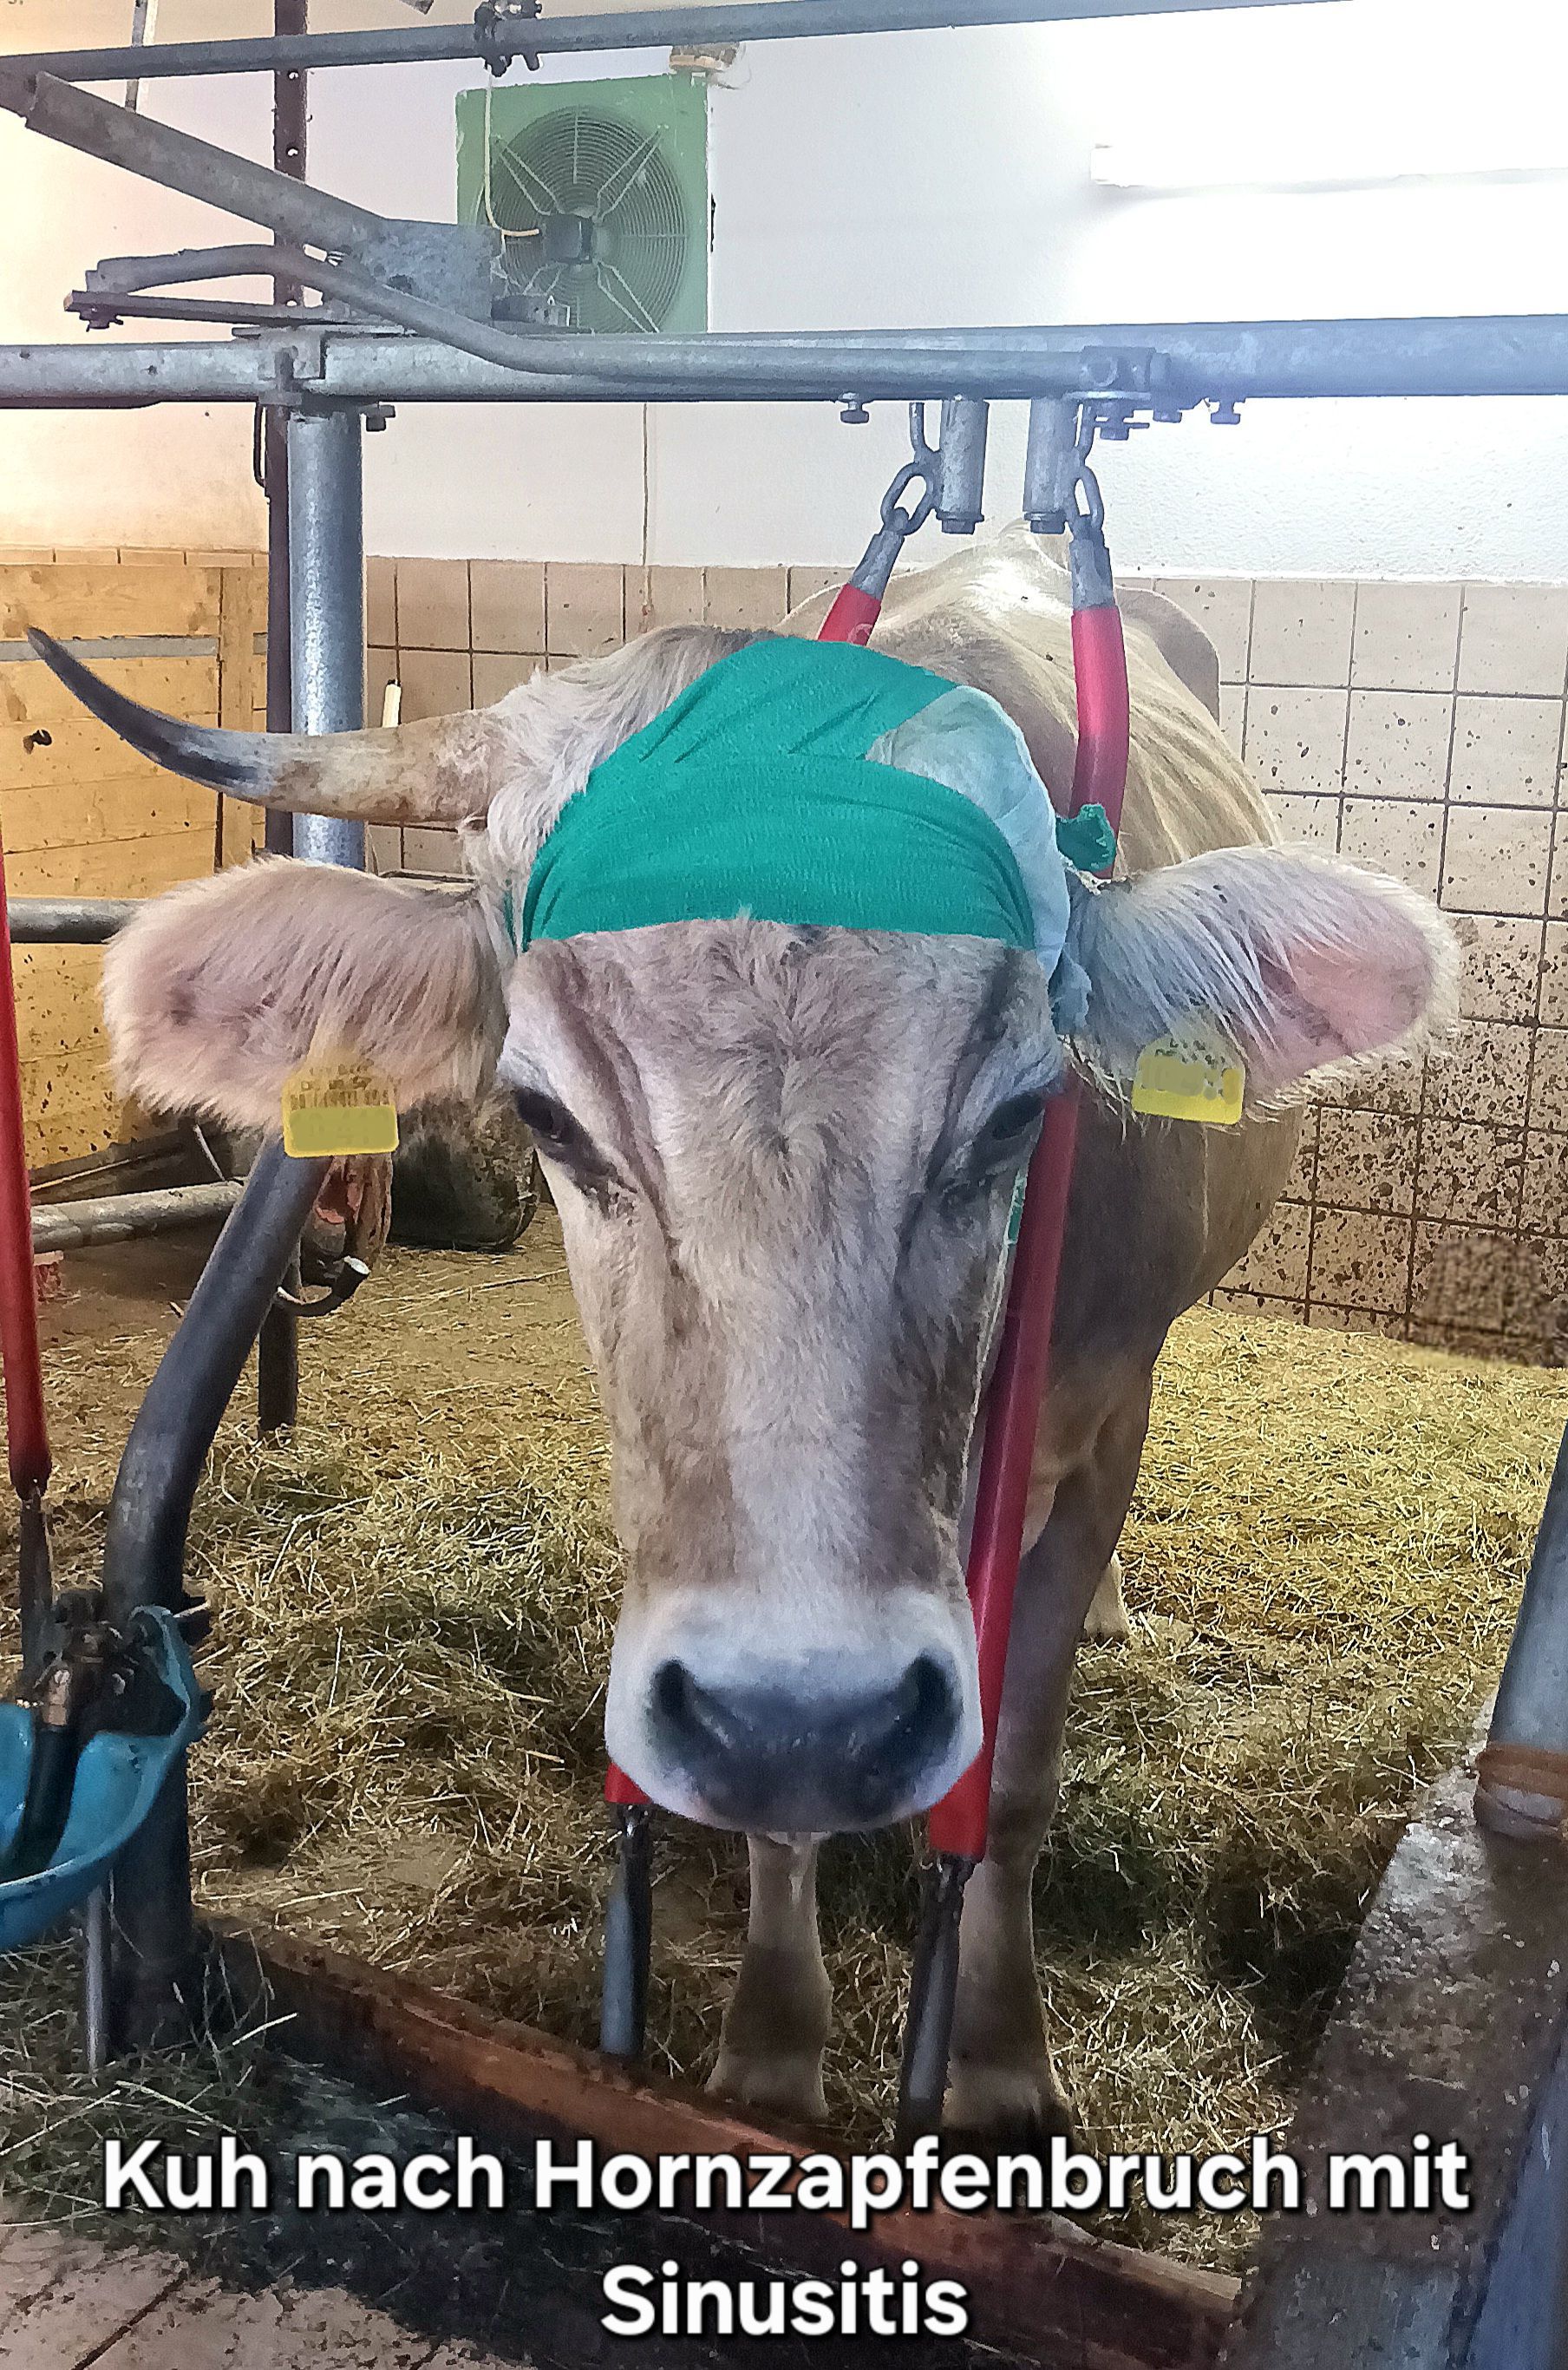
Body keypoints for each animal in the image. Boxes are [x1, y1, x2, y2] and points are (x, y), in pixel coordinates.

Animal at [30, 524, 1455, 2142]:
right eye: (541, 1114)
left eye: (1023, 1112)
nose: (808, 1714)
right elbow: (777, 1823)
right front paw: (773, 2048)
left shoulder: (1097, 1417)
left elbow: (1017, 1776)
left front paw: (1001, 2063)